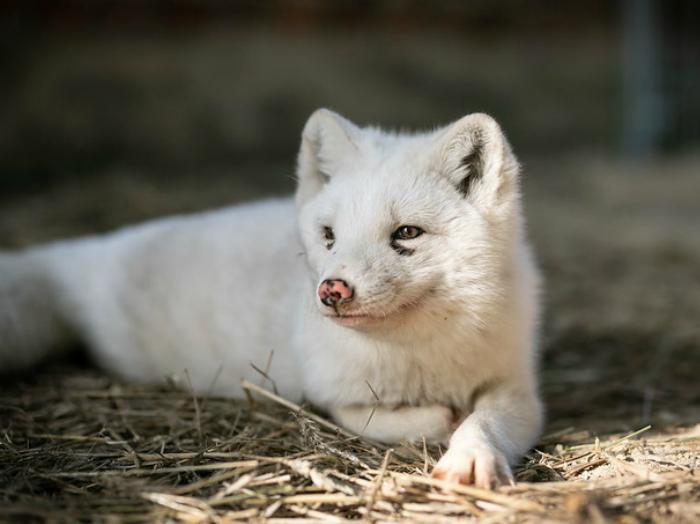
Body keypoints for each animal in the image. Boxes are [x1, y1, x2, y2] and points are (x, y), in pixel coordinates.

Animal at [0, 109, 540, 488]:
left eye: (407, 233)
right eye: (329, 235)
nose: (332, 290)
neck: (420, 356)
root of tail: (85, 250)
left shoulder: (517, 388)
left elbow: (484, 421)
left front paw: (471, 456)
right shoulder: (328, 393)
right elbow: (393, 419)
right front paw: (441, 419)